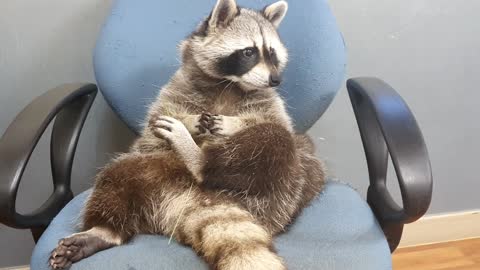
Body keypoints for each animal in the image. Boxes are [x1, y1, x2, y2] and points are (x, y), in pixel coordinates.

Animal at [48, 1, 324, 268]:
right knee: (114, 179)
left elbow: (279, 124)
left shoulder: (267, 99)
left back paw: (201, 161)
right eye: (249, 52)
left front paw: (235, 124)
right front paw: (189, 122)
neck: (229, 83)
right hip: (145, 166)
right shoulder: (178, 85)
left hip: (282, 195)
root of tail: (195, 199)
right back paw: (104, 229)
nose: (276, 79)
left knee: (277, 141)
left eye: (273, 54)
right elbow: (155, 120)